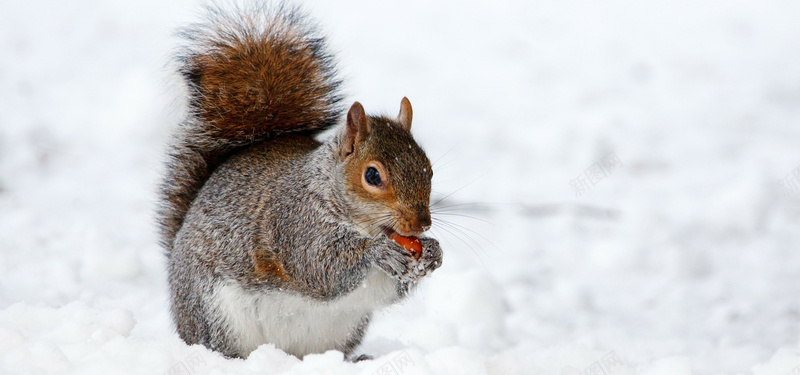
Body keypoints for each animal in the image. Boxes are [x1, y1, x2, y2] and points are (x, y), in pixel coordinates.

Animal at [156, 2, 444, 362]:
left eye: (429, 169)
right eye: (372, 175)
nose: (421, 224)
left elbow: (391, 289)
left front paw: (432, 252)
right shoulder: (294, 222)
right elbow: (318, 266)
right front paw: (378, 252)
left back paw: (355, 359)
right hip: (215, 315)